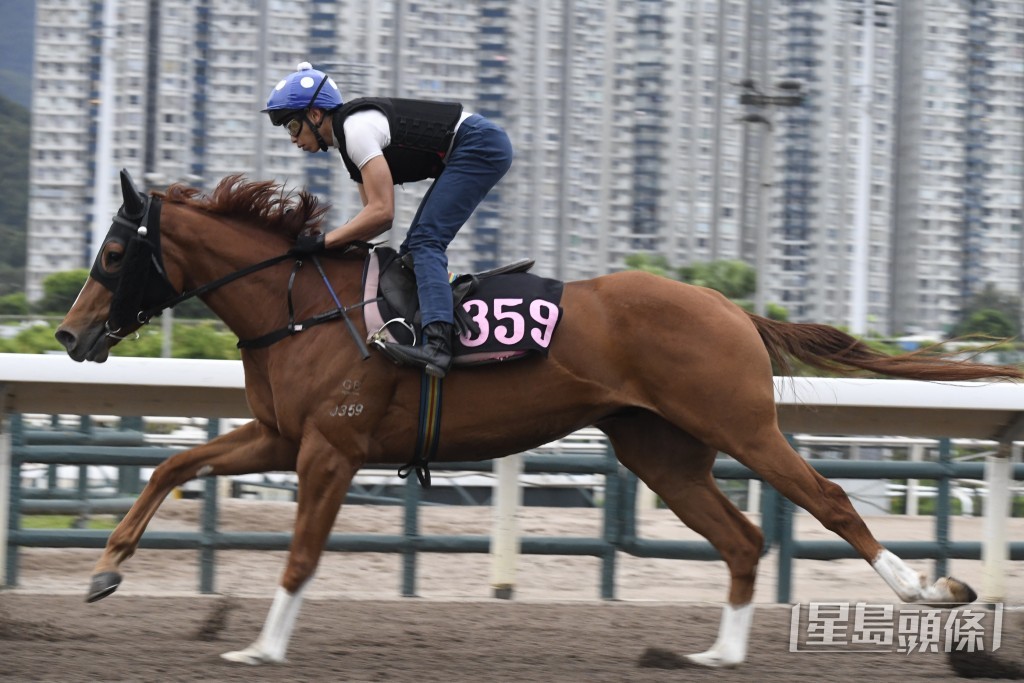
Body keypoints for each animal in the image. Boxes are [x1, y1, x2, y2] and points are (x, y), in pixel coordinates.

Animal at [58, 171, 1024, 667]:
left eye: (114, 250)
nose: (69, 334)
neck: (303, 307)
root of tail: (730, 308)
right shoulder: (280, 436)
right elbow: (173, 466)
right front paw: (105, 570)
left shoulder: (329, 448)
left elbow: (299, 556)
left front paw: (260, 647)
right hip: (661, 451)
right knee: (744, 537)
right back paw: (718, 654)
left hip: (741, 426)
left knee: (828, 500)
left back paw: (930, 590)